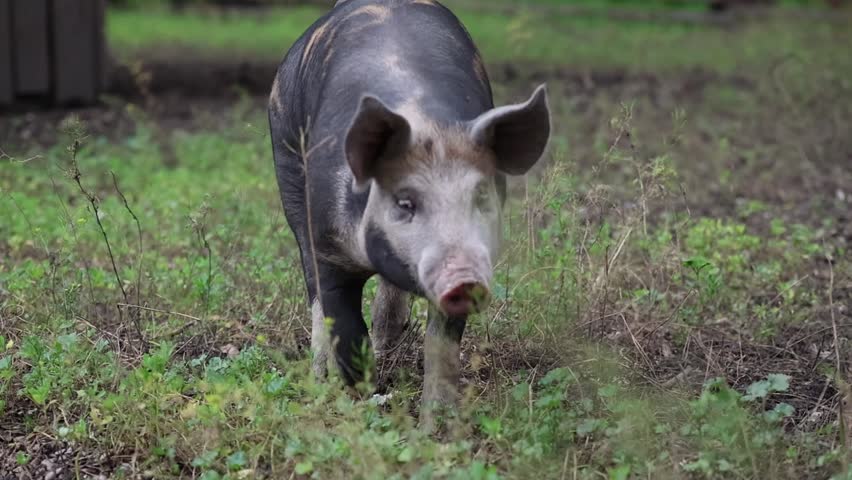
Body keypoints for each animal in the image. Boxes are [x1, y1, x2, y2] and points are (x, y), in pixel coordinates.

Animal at [267, 0, 551, 427]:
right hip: (286, 153)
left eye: (481, 194)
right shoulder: (330, 246)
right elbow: (345, 328)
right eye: (405, 202)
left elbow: (441, 347)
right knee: (313, 291)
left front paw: (433, 427)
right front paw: (363, 404)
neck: (427, 123)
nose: (464, 276)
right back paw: (318, 379)